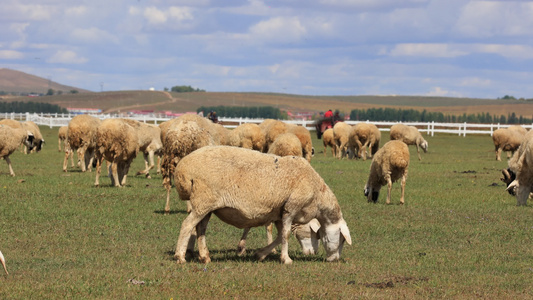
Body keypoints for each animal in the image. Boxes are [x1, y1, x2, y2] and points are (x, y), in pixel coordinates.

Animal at [172, 146, 352, 264]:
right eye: (342, 240)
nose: (335, 259)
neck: (317, 193)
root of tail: (184, 167)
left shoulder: (280, 212)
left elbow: (280, 236)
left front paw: (260, 254)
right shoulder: (291, 208)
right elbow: (286, 235)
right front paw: (286, 259)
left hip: (206, 205)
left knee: (200, 229)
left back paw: (205, 257)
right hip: (203, 201)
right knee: (187, 225)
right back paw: (180, 256)